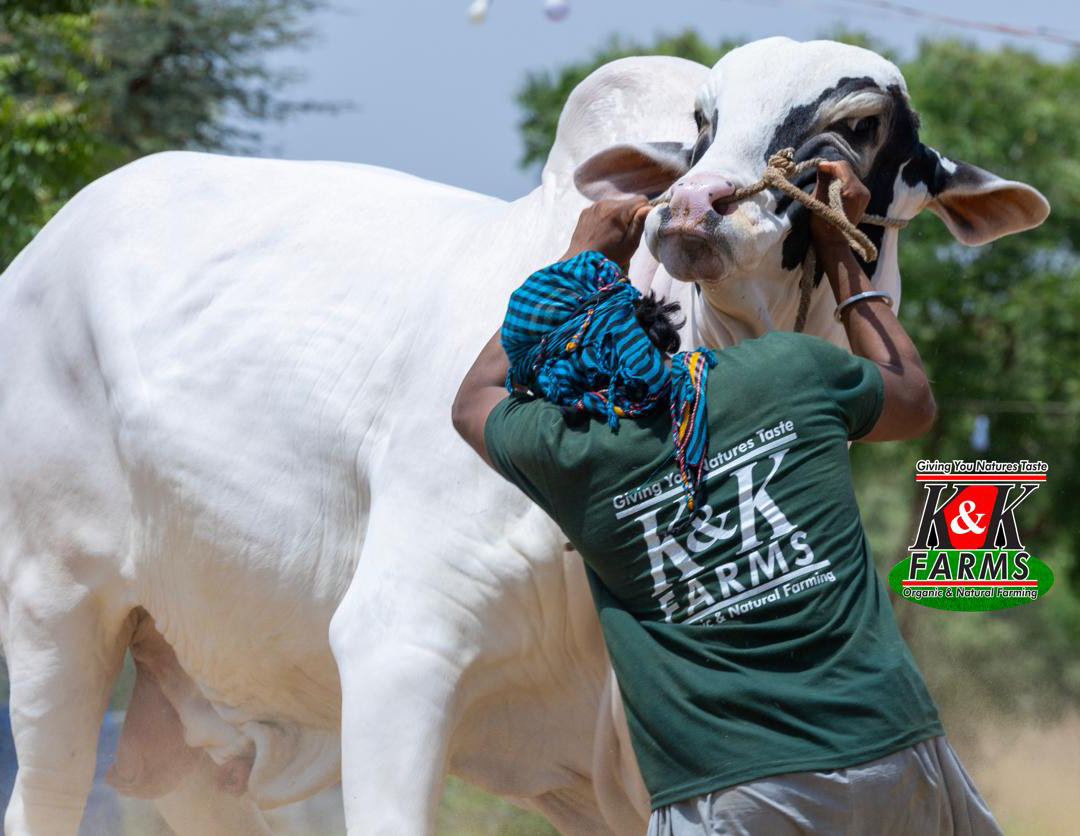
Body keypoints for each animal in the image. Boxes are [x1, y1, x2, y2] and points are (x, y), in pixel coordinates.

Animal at [0, 37, 1046, 836]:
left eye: (862, 124)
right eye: (702, 123)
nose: (691, 206)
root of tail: (42, 251)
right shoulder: (399, 649)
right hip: (57, 615)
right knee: (43, 792)